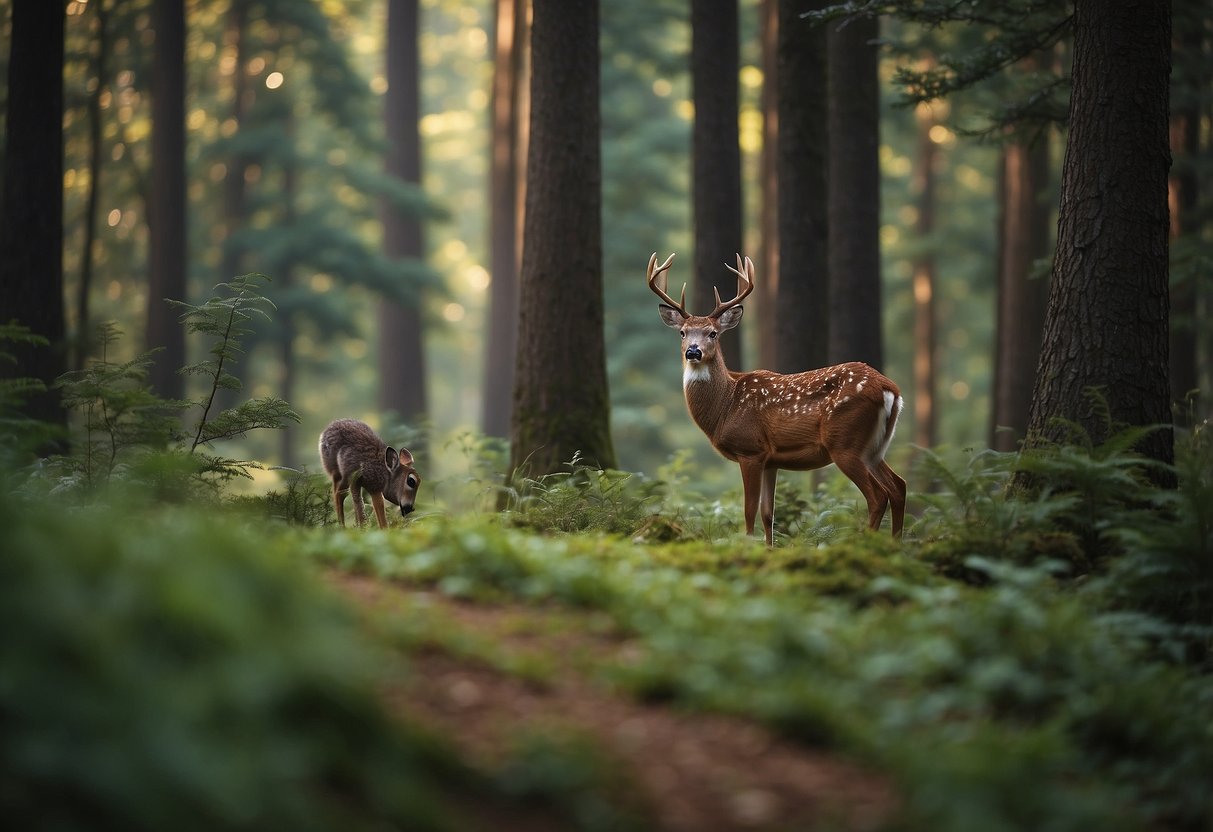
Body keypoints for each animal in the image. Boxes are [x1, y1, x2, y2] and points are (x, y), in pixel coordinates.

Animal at [650, 254, 907, 548]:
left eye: (713, 333)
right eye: (682, 332)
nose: (693, 352)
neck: (725, 406)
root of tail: (889, 388)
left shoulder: (750, 449)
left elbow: (749, 510)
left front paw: (748, 546)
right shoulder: (771, 460)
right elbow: (767, 513)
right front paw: (768, 548)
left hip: (845, 442)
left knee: (878, 495)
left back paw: (865, 544)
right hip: (874, 447)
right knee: (899, 486)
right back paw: (896, 544)